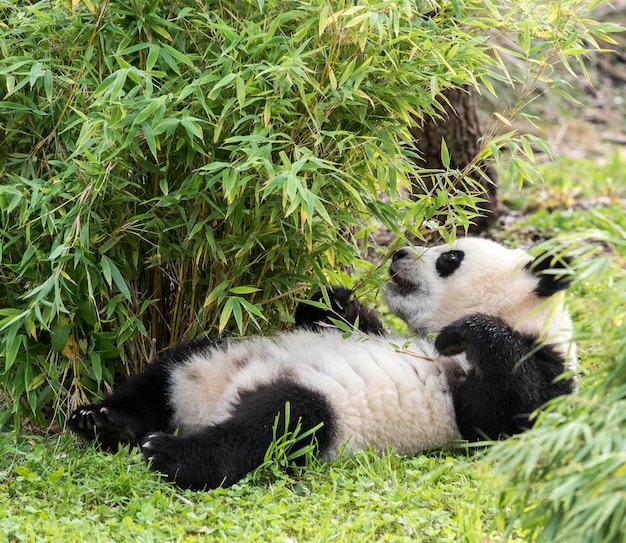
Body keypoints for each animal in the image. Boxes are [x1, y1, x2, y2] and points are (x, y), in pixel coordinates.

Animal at [68, 237, 576, 488]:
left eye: (450, 257)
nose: (398, 253)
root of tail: (209, 405)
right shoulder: (374, 331)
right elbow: (340, 318)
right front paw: (331, 293)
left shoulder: (542, 374)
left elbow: (502, 411)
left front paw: (464, 332)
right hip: (211, 354)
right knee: (162, 375)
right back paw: (103, 420)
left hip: (325, 409)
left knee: (276, 424)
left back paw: (167, 453)